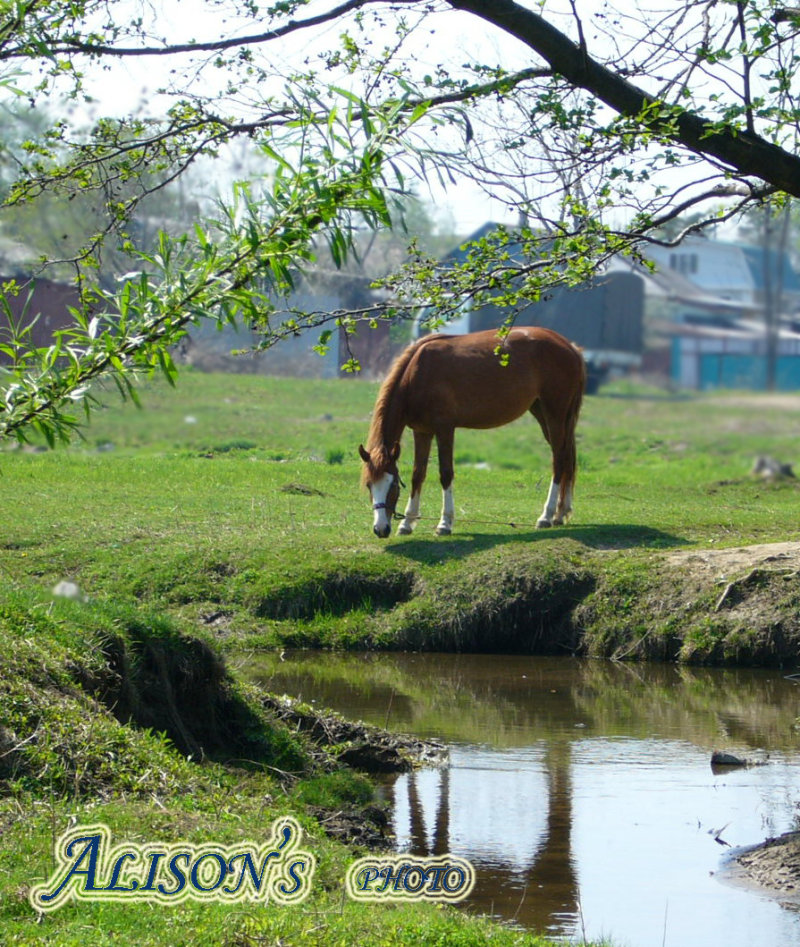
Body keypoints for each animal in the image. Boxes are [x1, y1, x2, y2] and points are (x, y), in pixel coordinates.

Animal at [359, 326, 586, 538]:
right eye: (369, 485)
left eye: (393, 486)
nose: (381, 529)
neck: (417, 374)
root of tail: (570, 347)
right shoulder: (422, 432)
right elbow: (418, 474)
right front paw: (407, 522)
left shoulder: (445, 429)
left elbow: (445, 474)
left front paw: (445, 523)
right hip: (542, 412)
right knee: (567, 457)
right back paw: (560, 513)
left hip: (555, 413)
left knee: (559, 460)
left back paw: (546, 516)